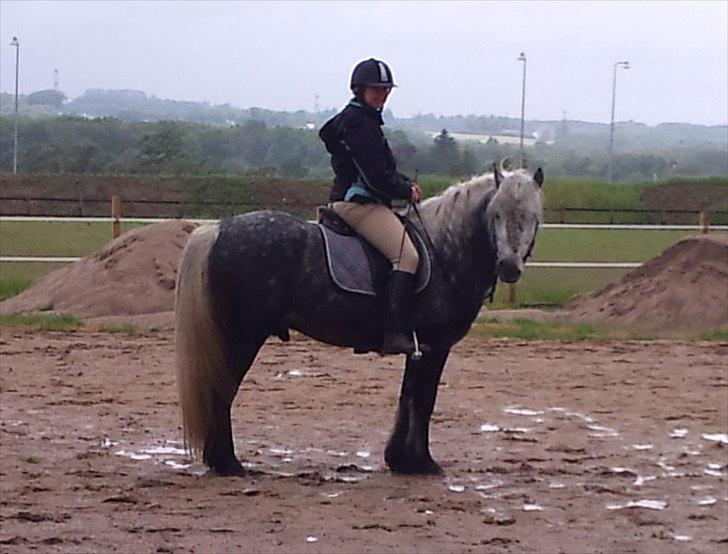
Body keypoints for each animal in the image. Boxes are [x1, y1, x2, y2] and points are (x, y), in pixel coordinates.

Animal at [175, 165, 544, 476]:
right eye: (496, 214)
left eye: (532, 216)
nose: (509, 267)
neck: (444, 250)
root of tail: (218, 228)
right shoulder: (436, 345)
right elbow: (424, 400)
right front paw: (424, 463)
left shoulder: (417, 347)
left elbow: (407, 398)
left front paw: (402, 461)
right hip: (242, 336)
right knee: (221, 390)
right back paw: (228, 463)